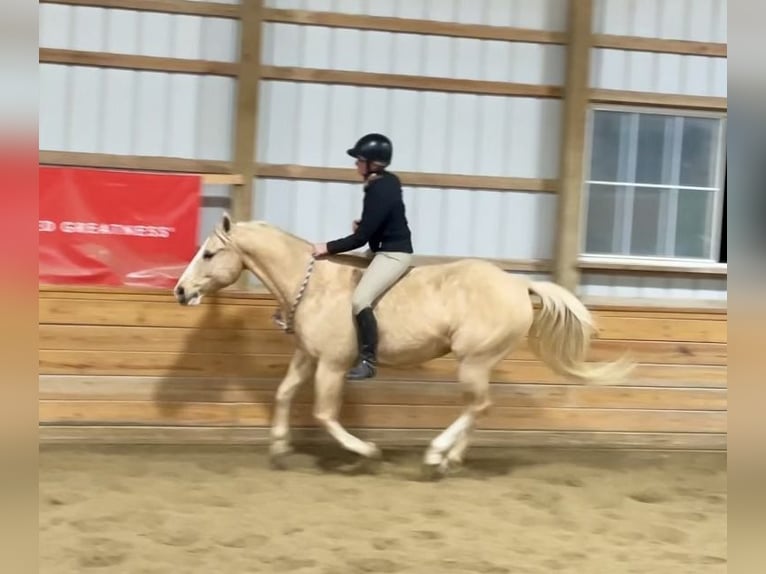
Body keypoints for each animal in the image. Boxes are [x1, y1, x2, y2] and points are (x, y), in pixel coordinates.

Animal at [173, 213, 634, 478]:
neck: (313, 284)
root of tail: (519, 285)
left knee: (477, 405)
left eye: (209, 254)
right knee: (479, 408)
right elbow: (284, 394)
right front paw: (279, 449)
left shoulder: (333, 365)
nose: (180, 292)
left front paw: (366, 452)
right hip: (479, 363)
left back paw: (435, 456)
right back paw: (449, 460)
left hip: (473, 360)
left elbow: (325, 414)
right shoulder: (307, 357)